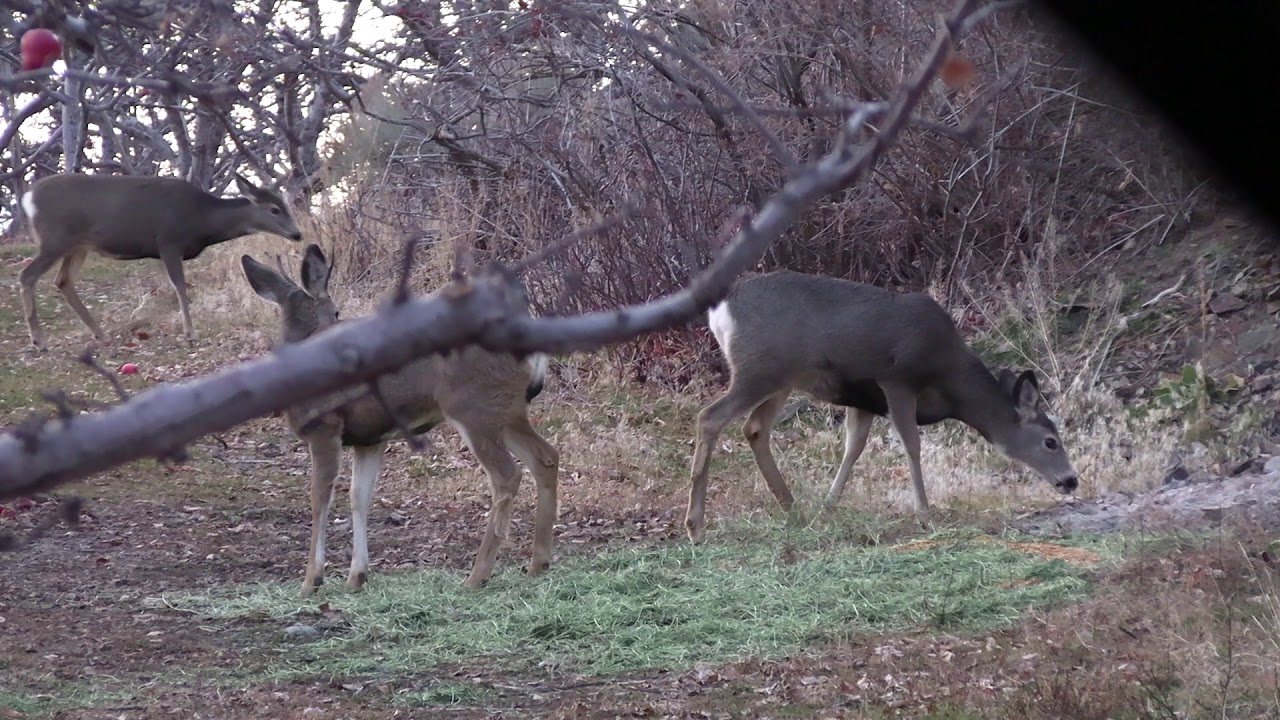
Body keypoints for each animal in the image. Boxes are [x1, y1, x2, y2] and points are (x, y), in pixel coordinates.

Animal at [18, 171, 303, 349]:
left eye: (285, 205)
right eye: (274, 209)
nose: (297, 234)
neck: (203, 219)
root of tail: (27, 198)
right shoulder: (168, 241)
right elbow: (180, 285)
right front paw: (190, 334)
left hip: (78, 245)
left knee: (62, 280)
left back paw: (100, 334)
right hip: (55, 239)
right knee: (27, 275)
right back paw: (39, 342)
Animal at [241, 243, 560, 594]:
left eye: (337, 311)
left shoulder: (325, 426)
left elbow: (319, 497)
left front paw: (312, 580)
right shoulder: (369, 439)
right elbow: (359, 497)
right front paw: (356, 577)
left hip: (473, 405)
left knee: (506, 475)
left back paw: (477, 575)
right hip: (507, 408)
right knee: (546, 457)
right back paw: (537, 564)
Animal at [684, 270, 1080, 542]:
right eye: (1050, 441)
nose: (1071, 480)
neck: (950, 376)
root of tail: (722, 309)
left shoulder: (863, 400)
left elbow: (853, 448)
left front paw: (829, 506)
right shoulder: (897, 380)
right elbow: (911, 444)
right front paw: (925, 515)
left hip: (781, 377)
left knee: (754, 428)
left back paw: (791, 506)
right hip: (759, 369)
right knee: (709, 417)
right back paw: (696, 526)